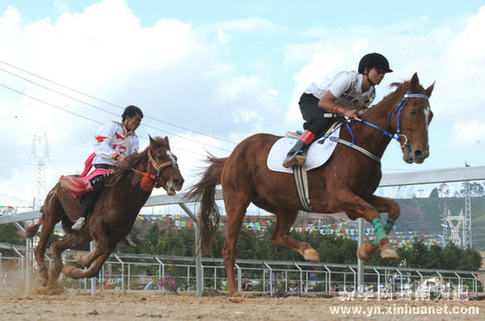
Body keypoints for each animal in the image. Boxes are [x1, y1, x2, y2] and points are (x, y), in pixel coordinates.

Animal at [25, 136, 183, 288]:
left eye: (175, 157)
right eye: (160, 156)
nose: (178, 181)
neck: (122, 198)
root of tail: (58, 185)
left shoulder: (114, 238)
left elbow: (94, 269)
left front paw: (72, 270)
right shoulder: (97, 228)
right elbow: (100, 248)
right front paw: (80, 258)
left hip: (81, 235)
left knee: (55, 246)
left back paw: (54, 280)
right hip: (51, 216)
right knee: (39, 248)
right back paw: (43, 275)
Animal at [187, 73, 432, 296]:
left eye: (430, 115)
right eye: (412, 111)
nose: (420, 153)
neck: (361, 144)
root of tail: (230, 157)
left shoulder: (362, 196)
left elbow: (394, 208)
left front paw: (369, 249)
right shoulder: (342, 196)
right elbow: (372, 211)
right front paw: (386, 249)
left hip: (284, 204)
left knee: (277, 236)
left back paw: (308, 252)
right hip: (238, 200)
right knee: (229, 247)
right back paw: (234, 291)